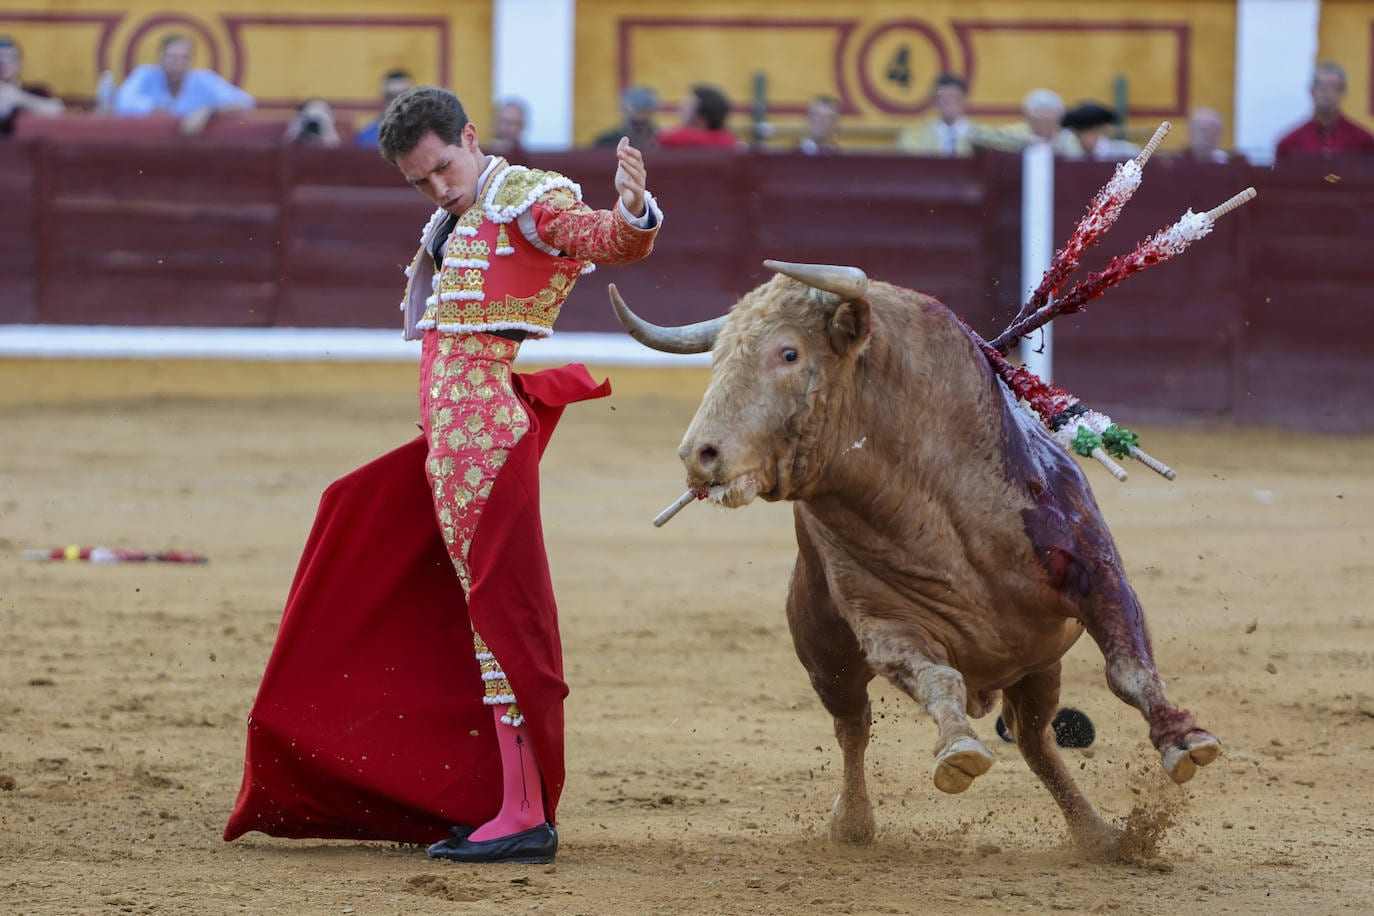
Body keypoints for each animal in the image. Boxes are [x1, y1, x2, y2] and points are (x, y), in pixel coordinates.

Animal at [612, 263, 1225, 862]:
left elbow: (1129, 667)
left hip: (1037, 664)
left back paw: (1100, 836)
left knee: (1035, 738)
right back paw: (854, 824)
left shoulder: (1097, 575)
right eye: (718, 357)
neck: (942, 501)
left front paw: (1185, 739)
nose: (699, 454)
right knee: (855, 727)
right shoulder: (887, 625)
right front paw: (957, 750)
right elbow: (936, 677)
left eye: (789, 353)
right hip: (824, 656)